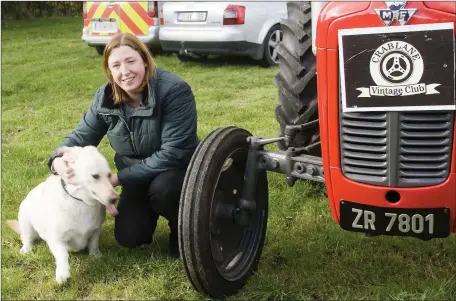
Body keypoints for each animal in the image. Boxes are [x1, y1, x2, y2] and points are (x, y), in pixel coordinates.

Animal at [6, 145, 118, 284]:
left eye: (109, 175)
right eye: (95, 176)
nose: (115, 199)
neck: (82, 203)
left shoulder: (96, 230)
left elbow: (93, 243)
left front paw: (95, 255)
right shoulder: (56, 239)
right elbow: (63, 255)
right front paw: (62, 274)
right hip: (26, 221)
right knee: (26, 238)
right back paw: (26, 249)